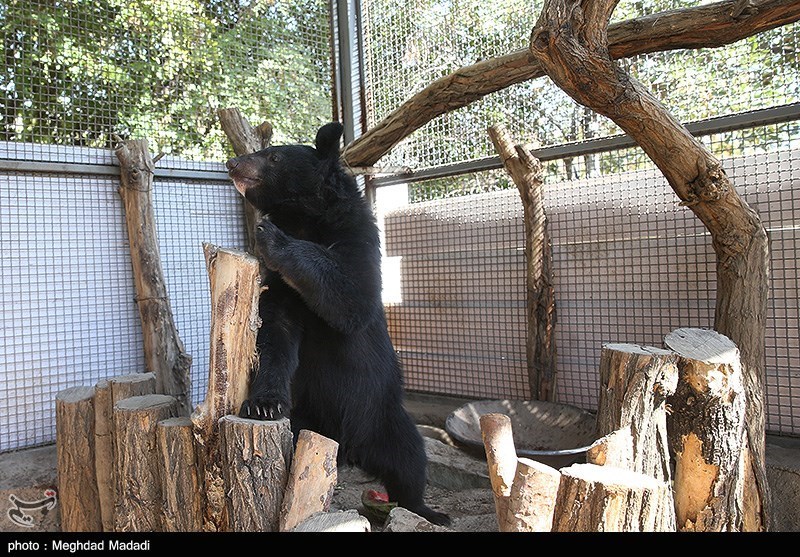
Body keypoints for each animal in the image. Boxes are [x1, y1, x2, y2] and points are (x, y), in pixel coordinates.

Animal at [225, 121, 450, 524]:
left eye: (273, 156)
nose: (232, 163)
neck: (304, 217)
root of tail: (351, 450)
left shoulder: (356, 237)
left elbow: (351, 295)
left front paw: (270, 235)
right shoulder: (280, 286)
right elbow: (276, 332)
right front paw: (263, 405)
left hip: (386, 415)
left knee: (411, 461)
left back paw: (428, 511)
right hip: (308, 417)